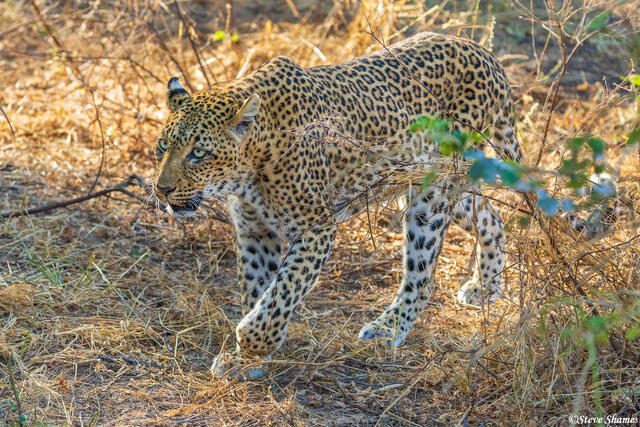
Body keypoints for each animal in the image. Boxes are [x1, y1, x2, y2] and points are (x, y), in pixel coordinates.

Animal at [152, 31, 524, 378]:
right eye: (163, 146)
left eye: (199, 153)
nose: (161, 190)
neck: (251, 167)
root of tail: (483, 52)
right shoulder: (255, 231)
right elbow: (257, 289)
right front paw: (247, 359)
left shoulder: (316, 228)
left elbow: (282, 292)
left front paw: (253, 340)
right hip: (441, 182)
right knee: (492, 217)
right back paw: (486, 287)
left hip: (431, 198)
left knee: (422, 276)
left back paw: (388, 328)